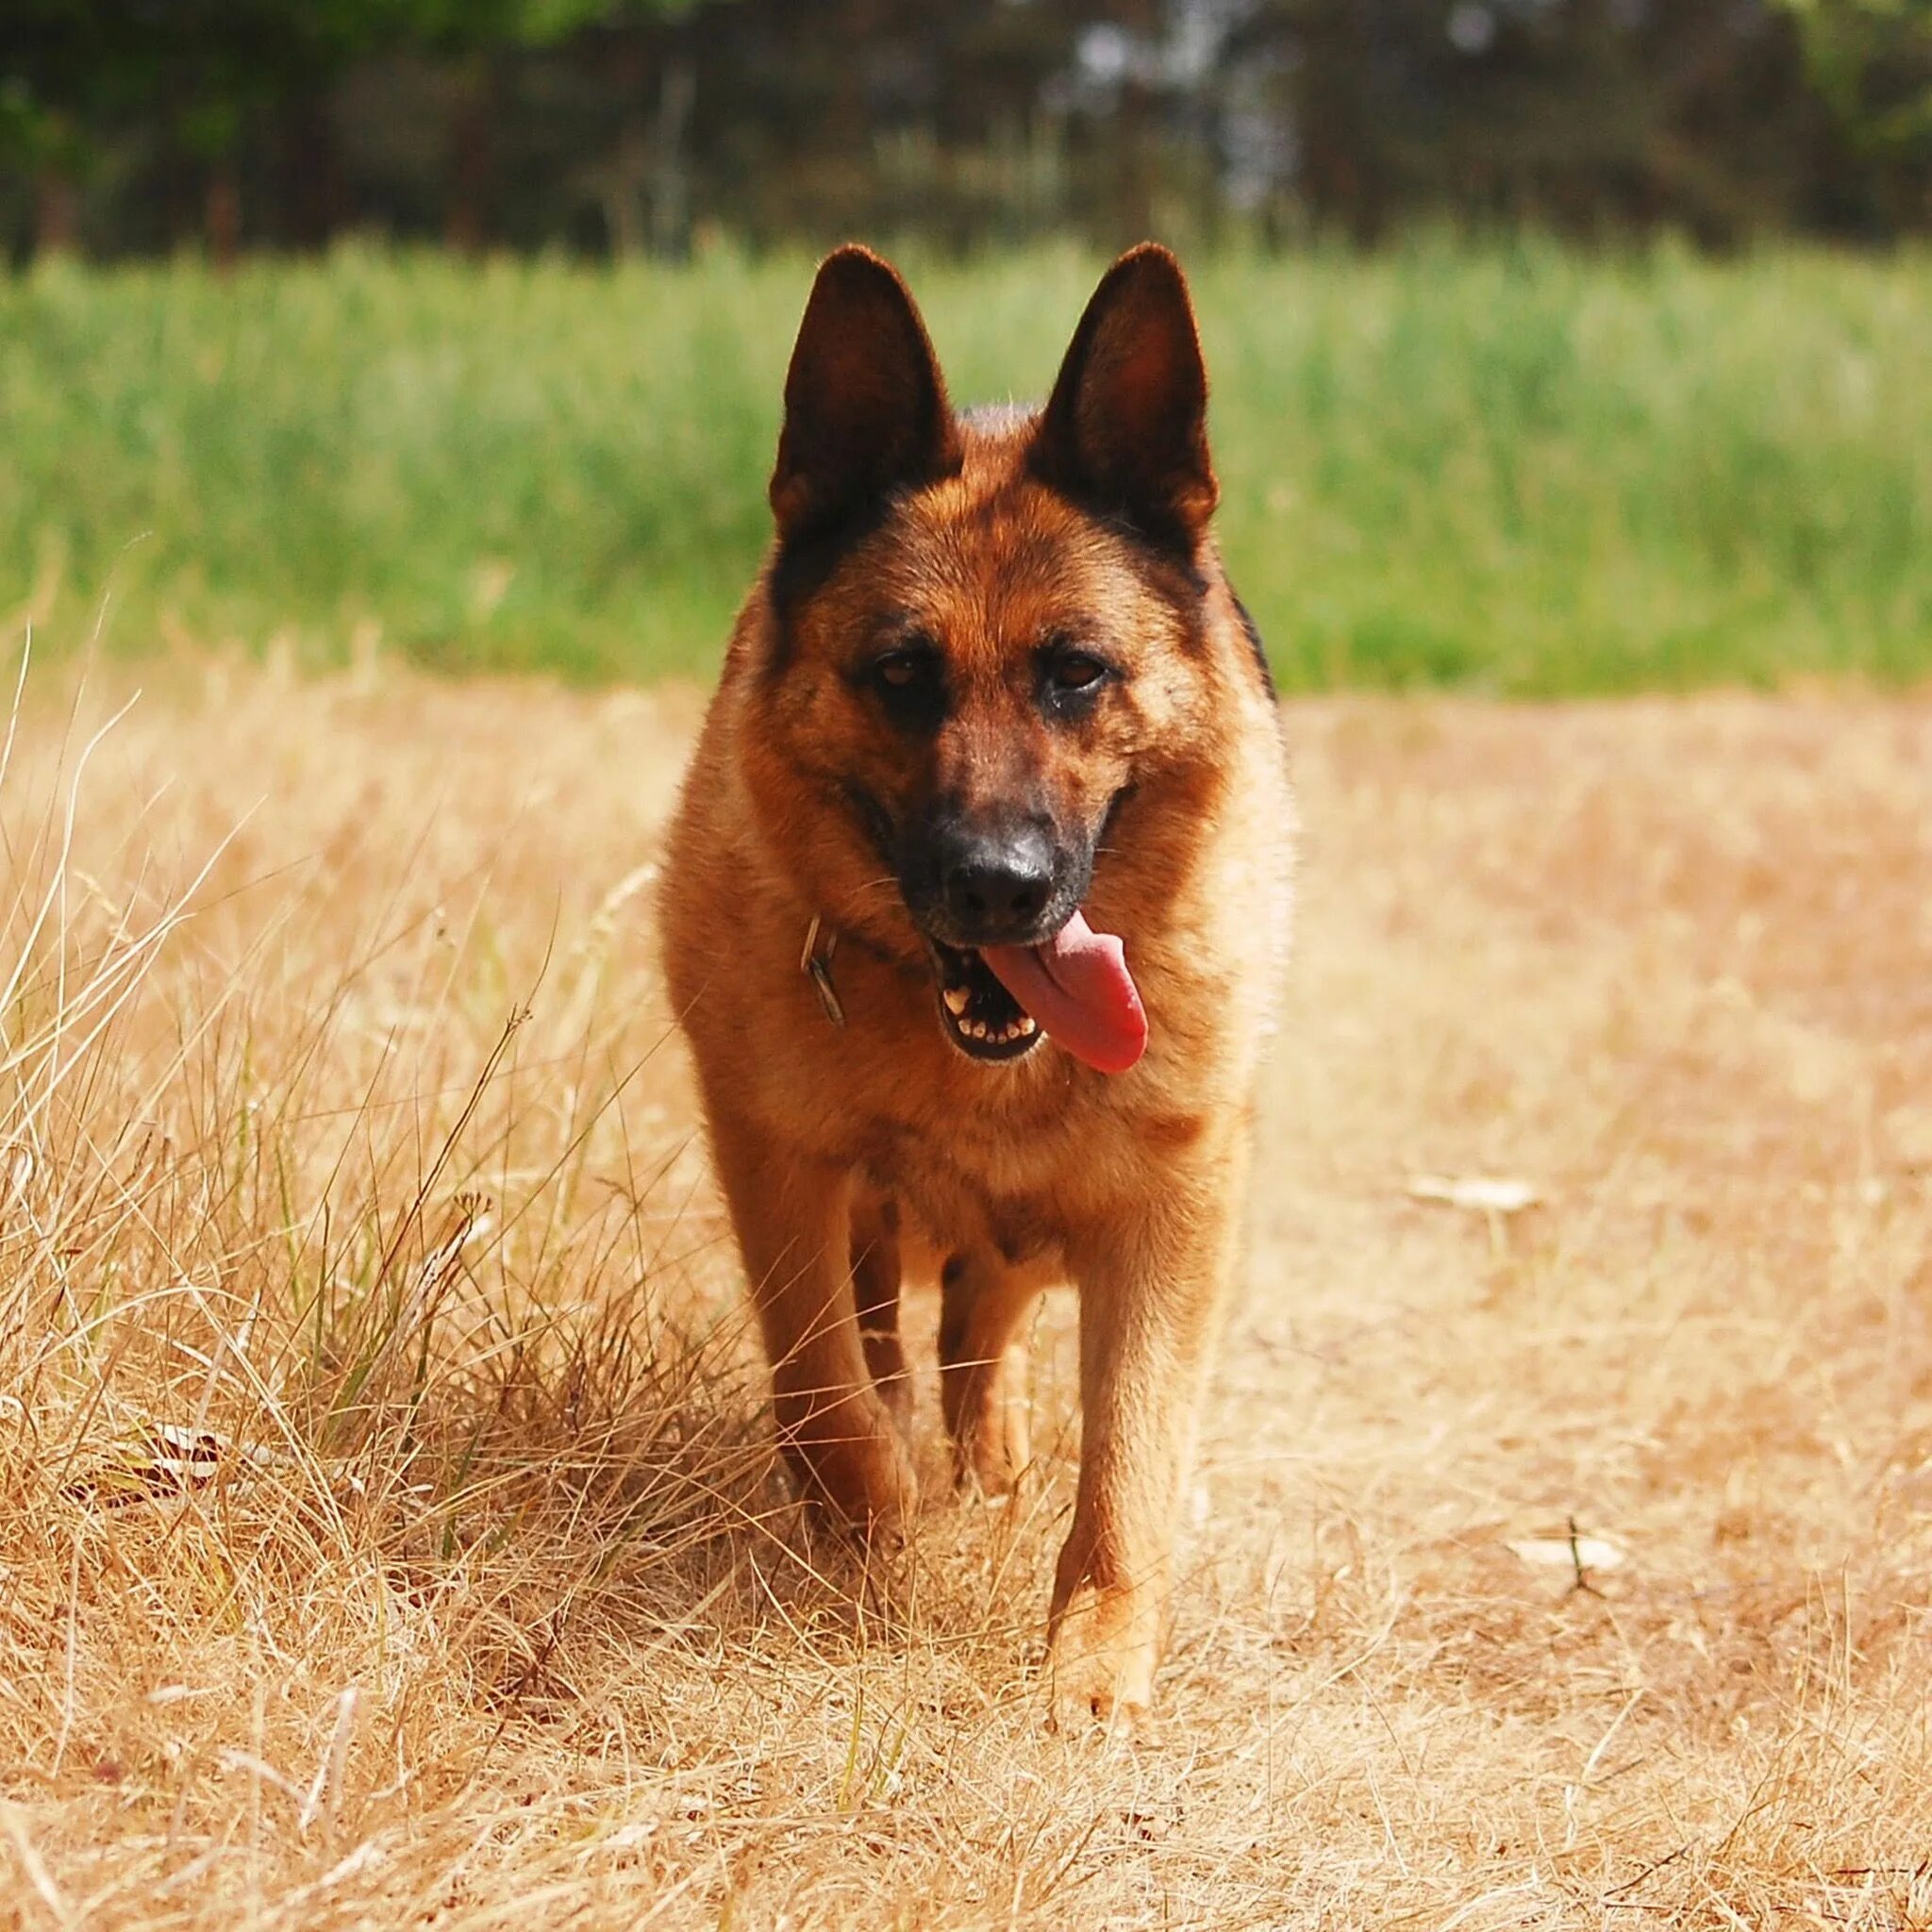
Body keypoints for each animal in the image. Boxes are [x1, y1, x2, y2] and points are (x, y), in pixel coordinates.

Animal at [668, 245, 1298, 1723]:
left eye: (1077, 672)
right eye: (902, 672)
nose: (1001, 887)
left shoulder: (1168, 1212)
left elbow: (1131, 1458)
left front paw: (1095, 1660)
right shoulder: (777, 1163)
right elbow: (826, 1388)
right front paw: (877, 1537)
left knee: (984, 1317)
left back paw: (990, 1449)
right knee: (895, 1334)